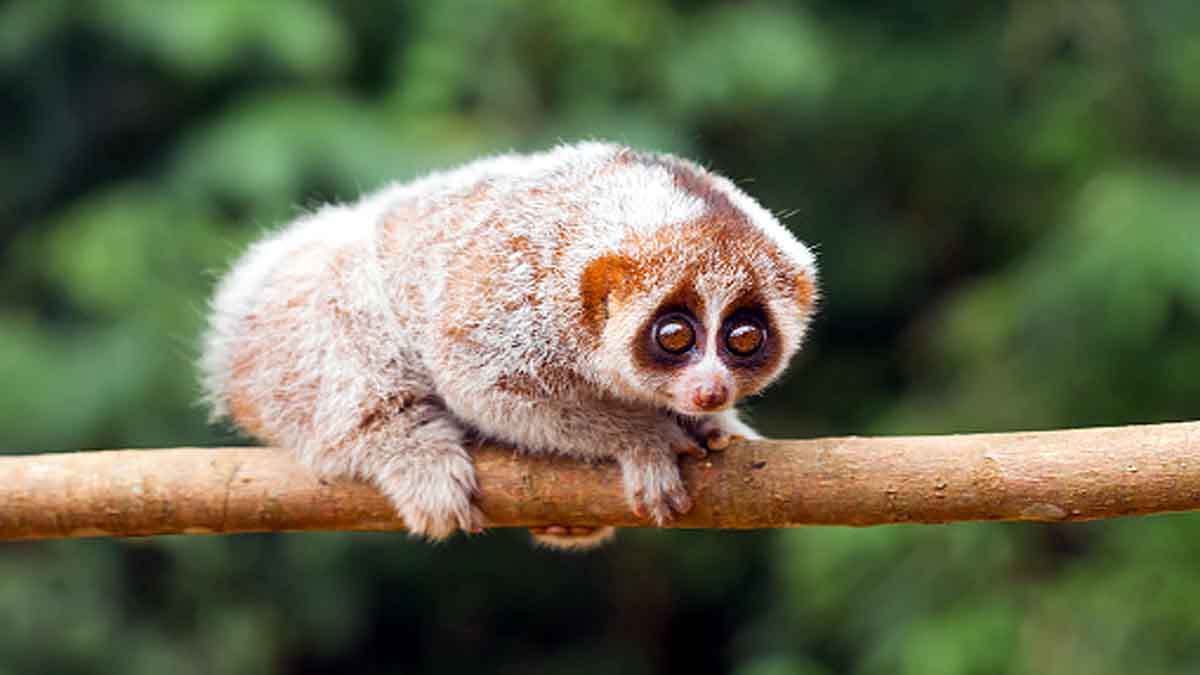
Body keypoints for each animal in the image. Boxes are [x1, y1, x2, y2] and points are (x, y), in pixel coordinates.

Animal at [200, 142, 818, 550]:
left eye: (744, 339)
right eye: (674, 336)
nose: (710, 390)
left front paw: (716, 425)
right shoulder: (516, 302)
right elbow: (481, 384)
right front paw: (643, 437)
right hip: (281, 329)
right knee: (343, 311)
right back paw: (414, 453)